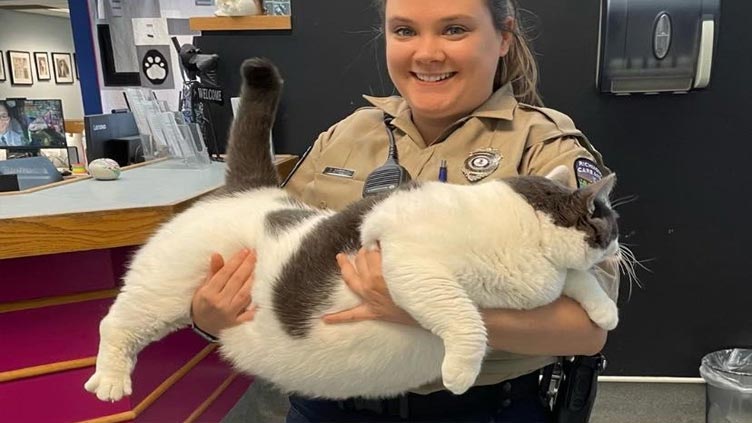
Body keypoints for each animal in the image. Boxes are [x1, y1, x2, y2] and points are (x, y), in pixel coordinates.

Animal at [85, 58, 620, 402]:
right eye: (610, 223)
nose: (621, 246)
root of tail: (251, 188)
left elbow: (578, 281)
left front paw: (604, 311)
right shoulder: (412, 268)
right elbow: (466, 318)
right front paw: (460, 371)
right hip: (161, 290)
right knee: (115, 324)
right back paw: (108, 382)